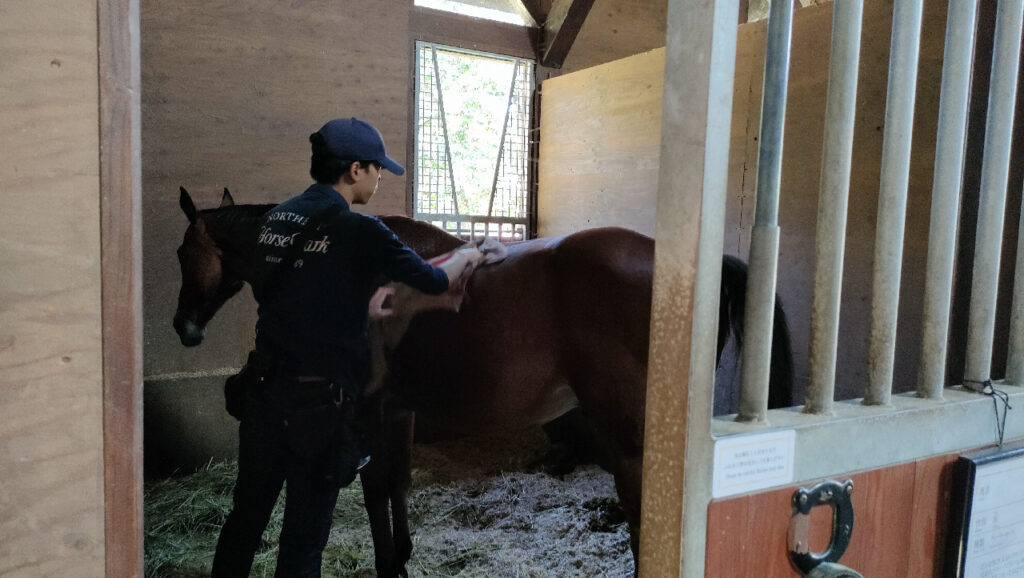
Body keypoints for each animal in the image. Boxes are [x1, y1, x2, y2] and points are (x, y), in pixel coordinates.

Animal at [172, 187, 794, 577]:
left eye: (181, 252)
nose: (185, 327)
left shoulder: (369, 412)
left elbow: (374, 491)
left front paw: (388, 563)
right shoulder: (398, 411)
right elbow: (397, 486)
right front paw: (402, 555)